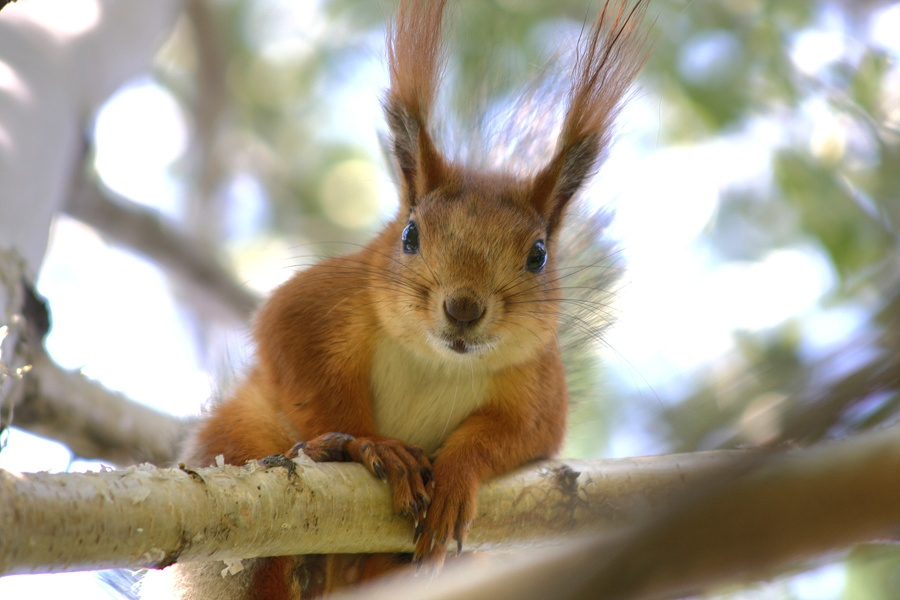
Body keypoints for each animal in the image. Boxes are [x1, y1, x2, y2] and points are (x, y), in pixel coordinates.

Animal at [163, 1, 649, 598]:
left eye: (538, 255)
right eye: (410, 236)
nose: (463, 308)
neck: (436, 360)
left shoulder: (537, 387)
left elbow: (514, 436)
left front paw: (457, 476)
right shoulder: (320, 304)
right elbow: (301, 362)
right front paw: (374, 444)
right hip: (241, 434)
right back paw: (315, 478)